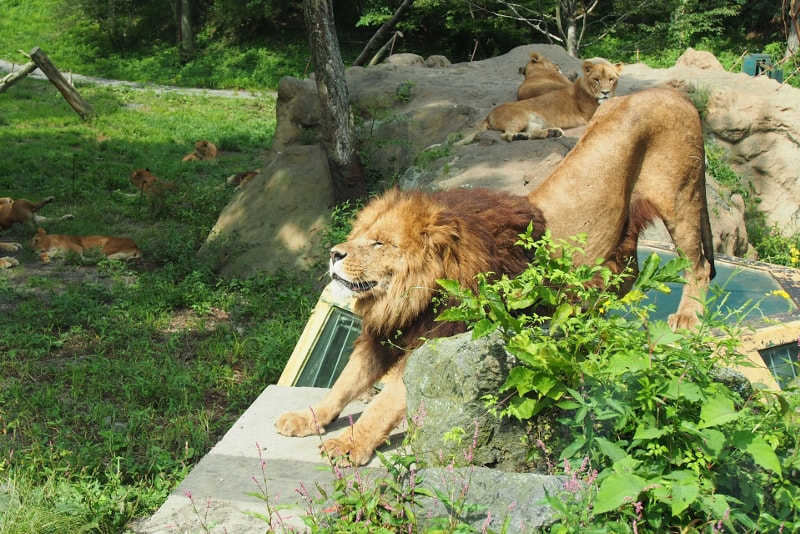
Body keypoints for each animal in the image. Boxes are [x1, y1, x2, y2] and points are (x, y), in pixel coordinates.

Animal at [278, 86, 716, 466]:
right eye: (359, 235)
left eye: (380, 243)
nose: (334, 254)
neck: (411, 295)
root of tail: (671, 91)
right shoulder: (387, 333)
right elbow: (345, 382)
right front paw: (308, 417)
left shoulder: (441, 339)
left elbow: (387, 402)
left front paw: (350, 443)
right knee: (625, 278)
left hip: (680, 199)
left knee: (699, 265)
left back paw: (687, 318)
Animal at [460, 59, 620, 144]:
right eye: (596, 79)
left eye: (611, 79)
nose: (605, 92)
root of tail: (488, 115)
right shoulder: (590, 116)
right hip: (520, 117)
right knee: (506, 135)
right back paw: (520, 136)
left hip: (534, 121)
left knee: (533, 132)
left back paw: (552, 133)